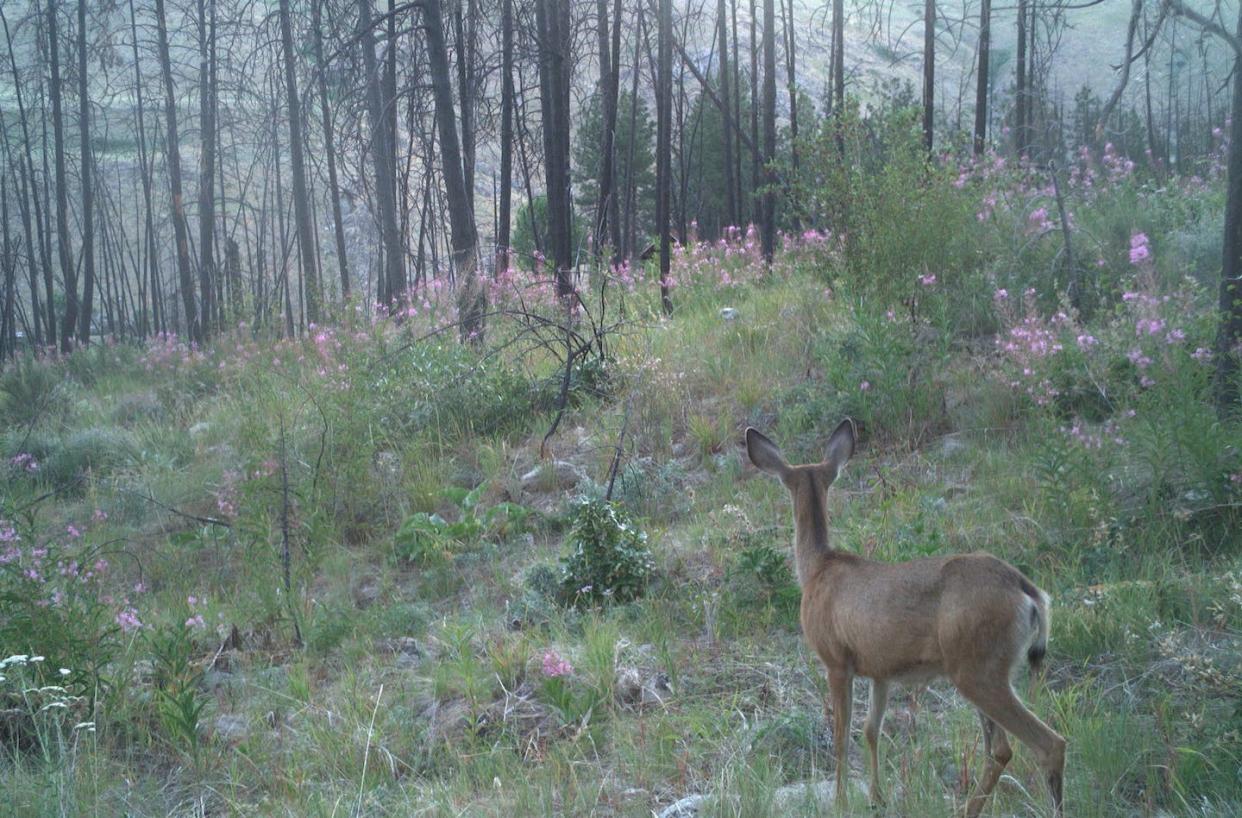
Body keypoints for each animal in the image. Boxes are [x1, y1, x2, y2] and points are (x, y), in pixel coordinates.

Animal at [740, 422, 1063, 818]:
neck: (817, 569)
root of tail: (1027, 590)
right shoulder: (881, 670)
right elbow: (870, 729)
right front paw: (877, 798)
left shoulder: (836, 660)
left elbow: (841, 736)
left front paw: (841, 802)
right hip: (988, 667)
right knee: (1001, 748)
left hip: (977, 667)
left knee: (1046, 743)